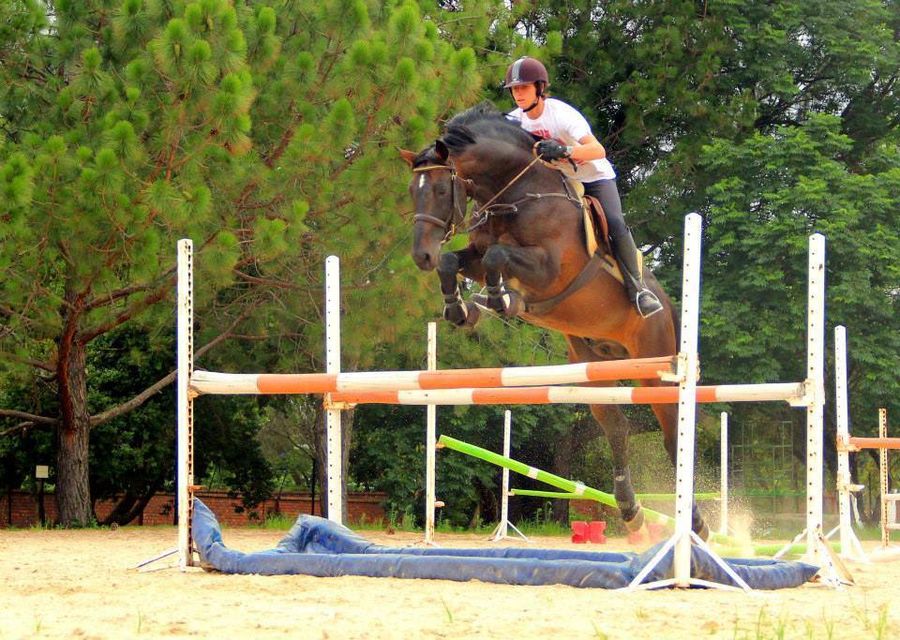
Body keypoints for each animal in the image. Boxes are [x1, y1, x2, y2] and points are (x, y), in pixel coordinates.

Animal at [399, 103, 710, 540]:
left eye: (443, 190)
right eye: (414, 191)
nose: (420, 256)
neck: (514, 194)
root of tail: (667, 306)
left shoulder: (548, 269)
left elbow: (498, 256)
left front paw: (498, 299)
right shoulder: (476, 252)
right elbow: (459, 260)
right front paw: (465, 308)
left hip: (655, 366)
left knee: (671, 436)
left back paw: (695, 524)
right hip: (593, 363)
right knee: (616, 428)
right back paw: (631, 511)